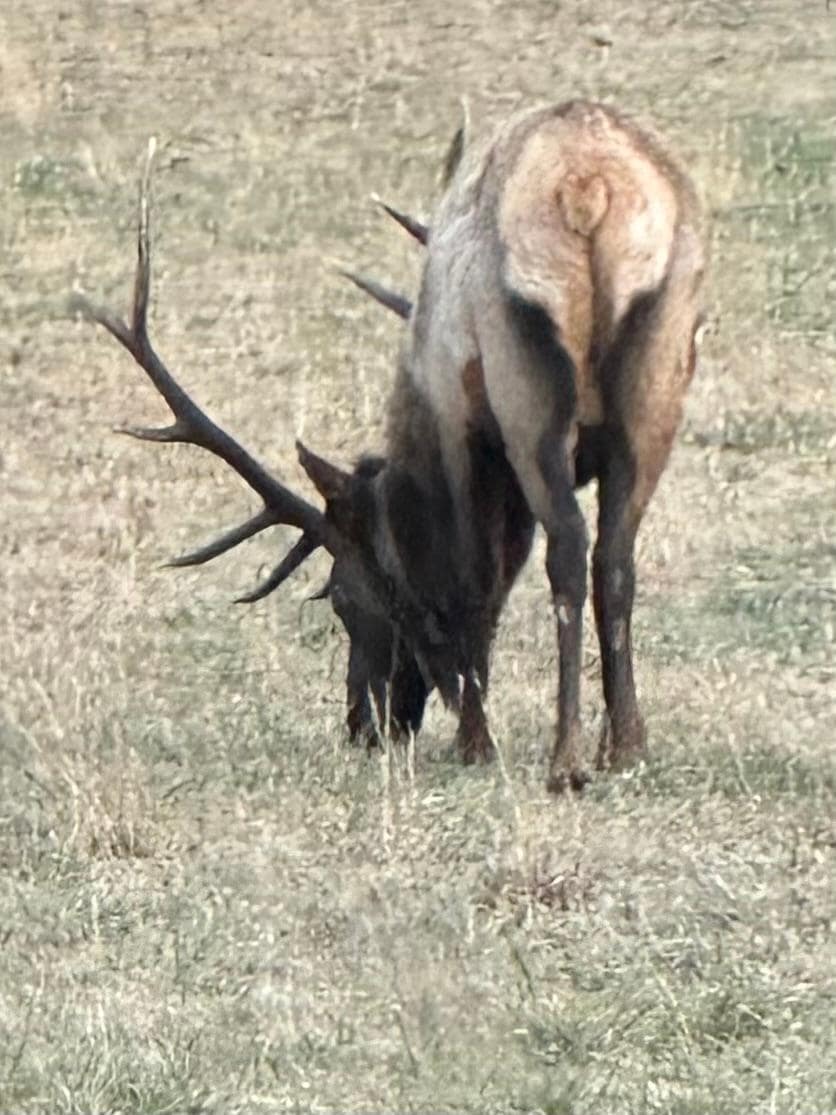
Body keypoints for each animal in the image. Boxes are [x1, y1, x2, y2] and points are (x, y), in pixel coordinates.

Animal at [74, 100, 704, 793]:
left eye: (343, 600)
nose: (363, 724)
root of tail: (589, 193)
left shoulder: (463, 427)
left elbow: (480, 581)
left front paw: (474, 739)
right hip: (659, 381)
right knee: (614, 558)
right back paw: (624, 746)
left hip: (526, 389)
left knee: (564, 547)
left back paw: (564, 758)